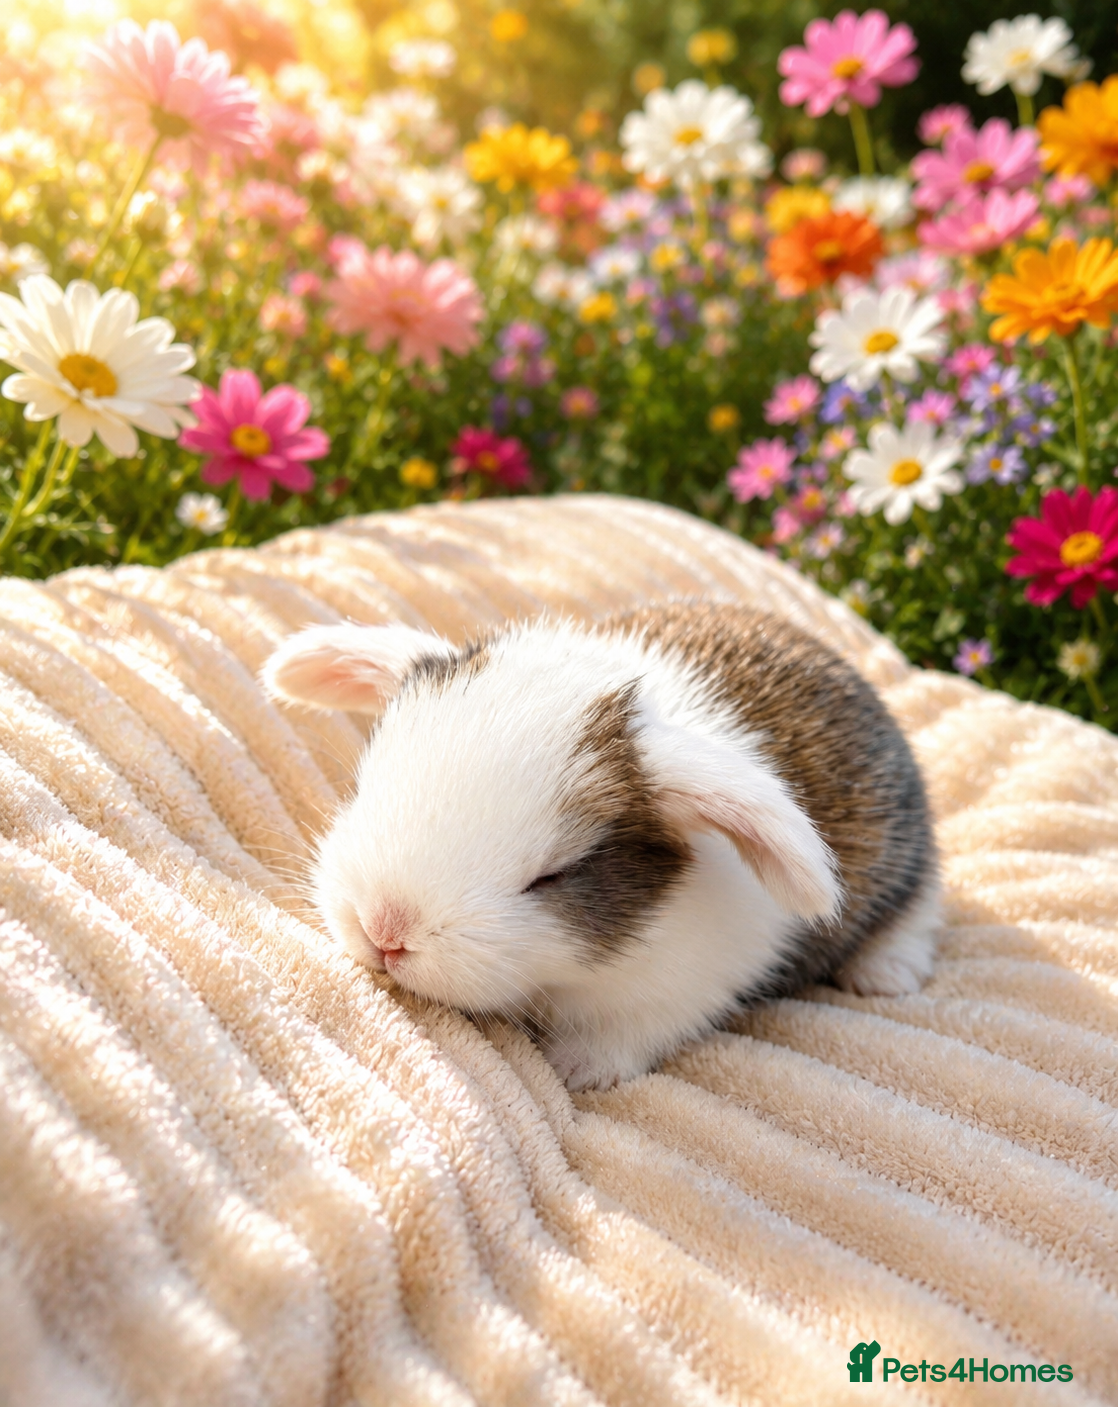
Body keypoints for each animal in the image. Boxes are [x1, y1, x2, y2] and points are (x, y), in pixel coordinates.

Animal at [262, 599, 939, 1091]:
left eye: (554, 875)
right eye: (362, 786)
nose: (384, 931)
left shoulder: (685, 990)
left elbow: (627, 1034)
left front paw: (573, 1069)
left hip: (909, 860)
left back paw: (884, 975)